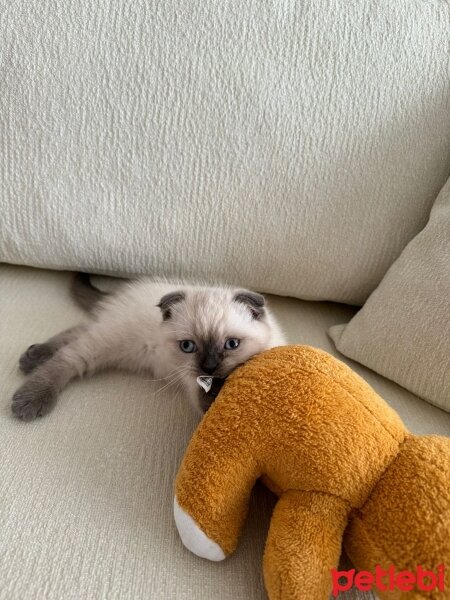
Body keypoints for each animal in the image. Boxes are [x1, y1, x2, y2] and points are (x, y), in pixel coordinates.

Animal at [12, 274, 284, 420]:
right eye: (188, 346)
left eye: (231, 344)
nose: (209, 367)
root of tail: (118, 295)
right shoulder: (190, 379)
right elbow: (203, 399)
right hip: (108, 342)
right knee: (68, 357)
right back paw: (30, 395)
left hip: (109, 337)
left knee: (78, 331)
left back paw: (32, 356)